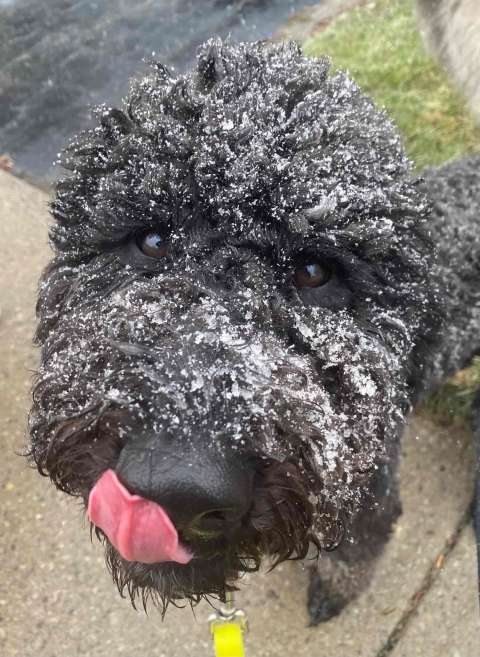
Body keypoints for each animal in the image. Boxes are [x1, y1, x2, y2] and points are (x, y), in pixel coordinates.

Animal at [27, 38, 480, 624]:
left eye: (314, 272)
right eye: (152, 241)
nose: (176, 488)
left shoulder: (370, 496)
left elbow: (355, 551)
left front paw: (333, 591)